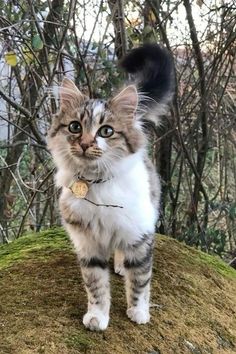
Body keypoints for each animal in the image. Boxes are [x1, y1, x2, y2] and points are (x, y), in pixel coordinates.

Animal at [47, 44, 174, 332]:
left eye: (106, 131)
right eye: (75, 127)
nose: (84, 144)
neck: (95, 185)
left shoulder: (140, 235)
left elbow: (140, 281)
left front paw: (138, 311)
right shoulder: (88, 246)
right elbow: (96, 287)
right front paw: (98, 316)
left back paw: (120, 266)